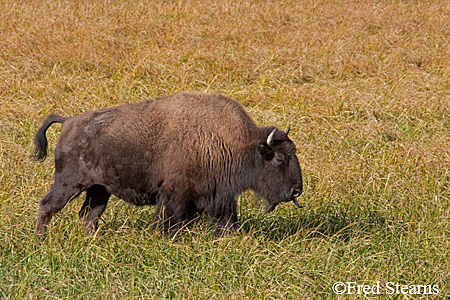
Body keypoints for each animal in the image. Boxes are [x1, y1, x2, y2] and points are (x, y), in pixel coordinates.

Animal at [31, 92, 302, 240]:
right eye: (280, 158)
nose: (296, 190)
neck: (238, 143)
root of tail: (68, 122)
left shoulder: (221, 197)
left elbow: (227, 221)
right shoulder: (175, 196)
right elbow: (169, 222)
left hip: (99, 190)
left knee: (89, 215)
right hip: (69, 184)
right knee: (47, 206)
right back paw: (40, 241)